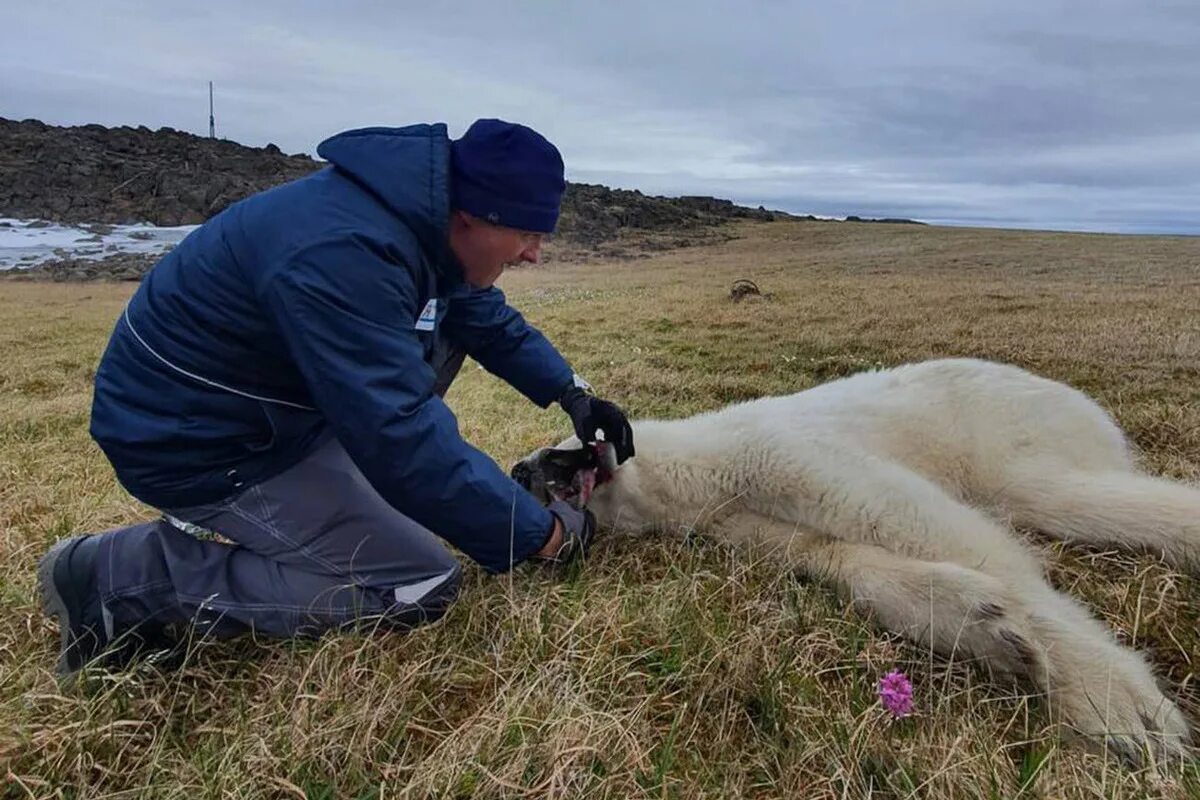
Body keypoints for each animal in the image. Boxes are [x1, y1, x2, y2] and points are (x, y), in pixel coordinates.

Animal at [511, 357, 1195, 767]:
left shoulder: (775, 454)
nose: (520, 468)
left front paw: (1116, 704)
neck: (693, 470)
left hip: (1007, 429)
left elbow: (912, 520)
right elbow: (836, 556)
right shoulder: (740, 520)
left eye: (560, 446)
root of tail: (1083, 403)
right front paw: (987, 626)